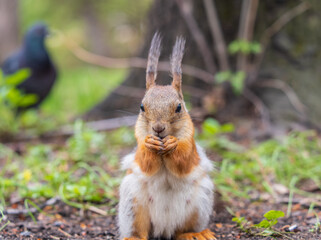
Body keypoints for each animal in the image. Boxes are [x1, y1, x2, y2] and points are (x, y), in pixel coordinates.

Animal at [117, 32, 215, 239]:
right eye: (142, 106)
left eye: (179, 107)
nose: (158, 128)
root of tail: (164, 227)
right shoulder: (139, 140)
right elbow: (145, 163)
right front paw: (150, 144)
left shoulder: (190, 142)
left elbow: (184, 162)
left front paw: (173, 145)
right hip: (132, 201)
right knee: (140, 230)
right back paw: (133, 236)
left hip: (201, 200)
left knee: (182, 231)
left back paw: (194, 233)